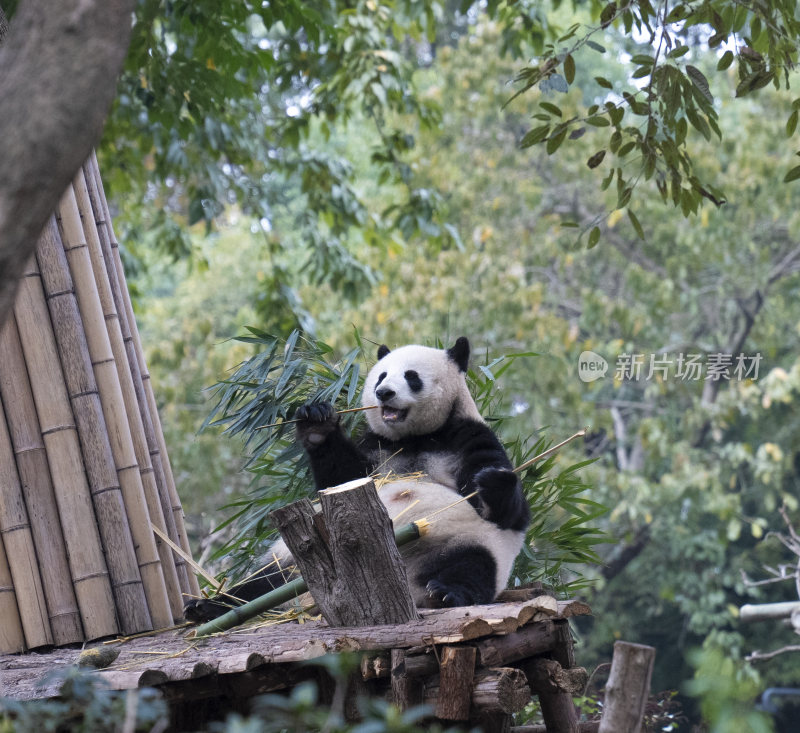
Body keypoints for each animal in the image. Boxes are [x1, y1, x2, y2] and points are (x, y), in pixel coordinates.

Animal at [184, 334, 528, 620]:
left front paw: (494, 483)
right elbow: (340, 478)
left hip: (468, 541)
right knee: (263, 585)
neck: (415, 438)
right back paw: (208, 607)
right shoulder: (376, 446)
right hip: (293, 563)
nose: (384, 392)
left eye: (411, 376)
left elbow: (509, 513)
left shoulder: (467, 434)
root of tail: (408, 585)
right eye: (382, 375)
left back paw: (447, 593)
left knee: (474, 566)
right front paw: (317, 424)